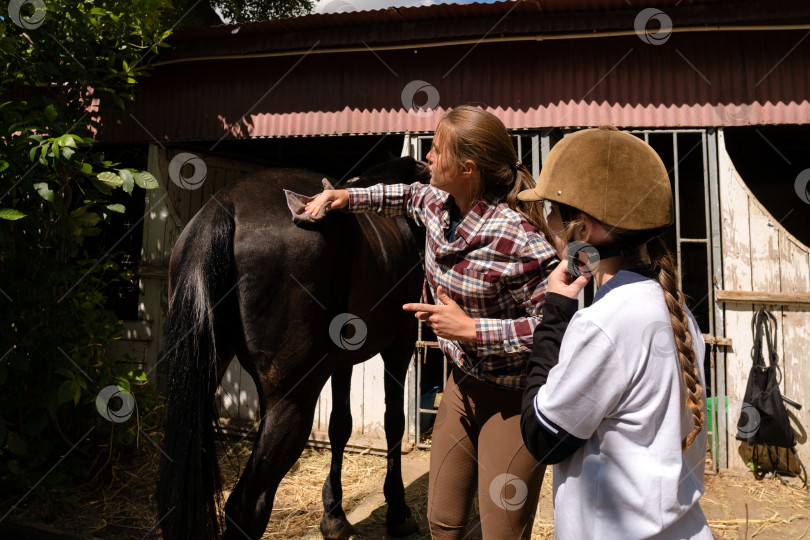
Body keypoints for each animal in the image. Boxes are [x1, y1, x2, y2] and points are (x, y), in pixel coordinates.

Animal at [153, 157, 430, 540]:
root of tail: (223, 208)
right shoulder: (399, 345)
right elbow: (394, 422)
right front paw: (399, 512)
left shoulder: (342, 361)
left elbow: (340, 425)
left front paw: (334, 516)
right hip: (292, 400)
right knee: (246, 506)